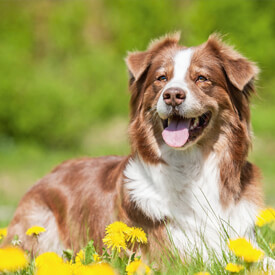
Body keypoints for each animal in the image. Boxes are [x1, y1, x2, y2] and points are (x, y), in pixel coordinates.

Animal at [3, 33, 264, 260]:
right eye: (161, 78)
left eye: (201, 78)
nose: (172, 95)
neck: (191, 166)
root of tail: (50, 172)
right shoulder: (170, 254)